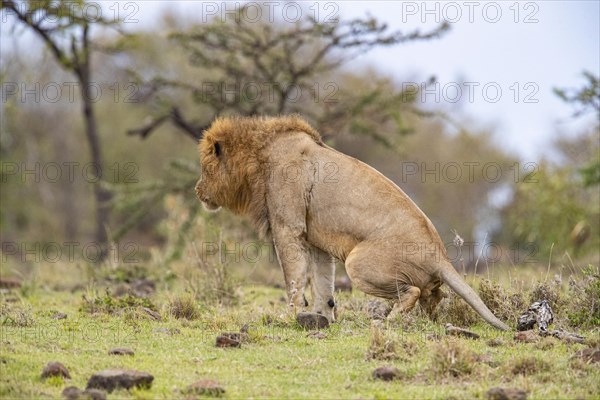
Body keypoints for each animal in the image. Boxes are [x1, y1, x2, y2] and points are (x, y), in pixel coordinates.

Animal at [197, 114, 510, 330]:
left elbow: (294, 279)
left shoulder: (288, 227)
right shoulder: (316, 240)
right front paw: (322, 317)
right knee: (434, 294)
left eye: (204, 168)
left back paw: (388, 321)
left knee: (412, 291)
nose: (197, 190)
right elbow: (323, 284)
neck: (257, 155)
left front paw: (290, 315)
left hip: (358, 263)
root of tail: (440, 256)